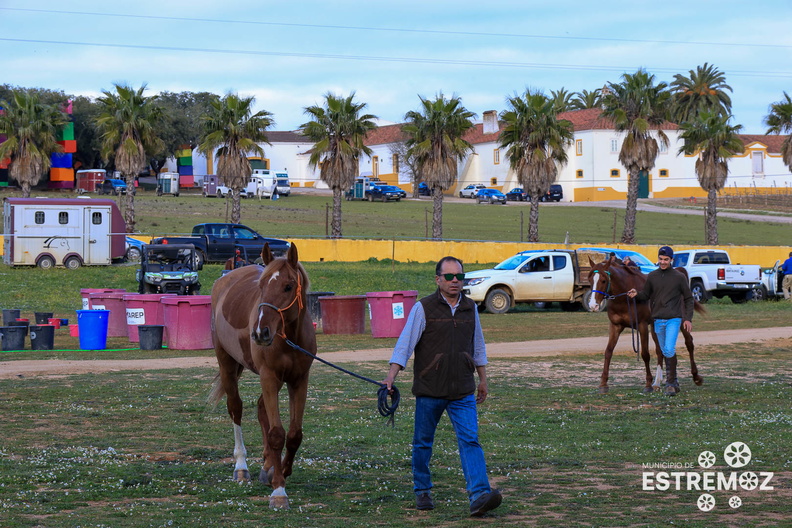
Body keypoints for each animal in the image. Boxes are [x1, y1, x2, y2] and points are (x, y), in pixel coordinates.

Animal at [210, 242, 316, 508]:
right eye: (261, 287)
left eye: (288, 286)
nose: (260, 332)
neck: (288, 338)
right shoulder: (268, 377)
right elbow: (277, 434)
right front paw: (279, 490)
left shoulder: (299, 380)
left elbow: (294, 434)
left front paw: (281, 470)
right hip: (227, 364)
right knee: (236, 408)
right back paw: (241, 467)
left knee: (260, 408)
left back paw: (267, 465)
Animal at [580, 258, 704, 394]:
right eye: (590, 280)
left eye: (603, 280)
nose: (593, 305)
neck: (624, 299)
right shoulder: (615, 326)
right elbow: (608, 352)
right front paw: (603, 384)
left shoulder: (642, 326)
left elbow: (645, 354)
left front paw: (648, 384)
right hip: (656, 327)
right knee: (661, 350)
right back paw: (659, 383)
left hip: (682, 322)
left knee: (689, 343)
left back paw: (695, 377)